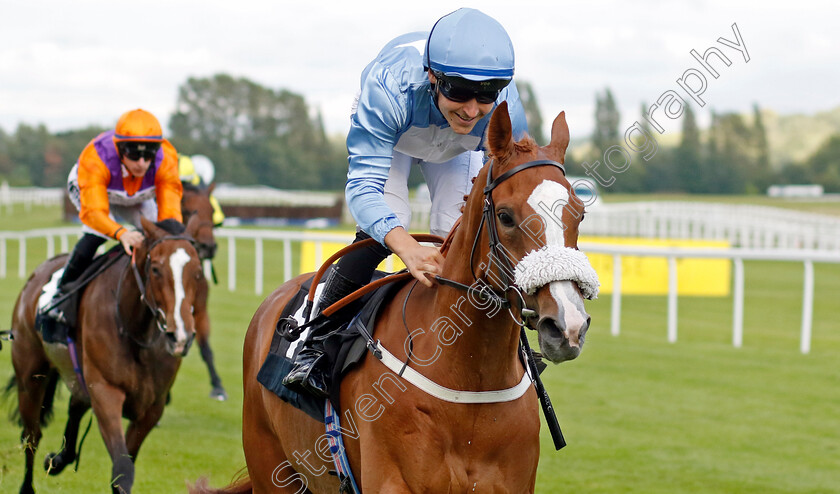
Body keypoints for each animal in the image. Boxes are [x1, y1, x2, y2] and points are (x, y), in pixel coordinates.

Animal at [11, 216, 207, 494]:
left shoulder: (152, 407)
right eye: (155, 269)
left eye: (198, 271)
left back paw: (58, 459)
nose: (180, 336)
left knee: (76, 404)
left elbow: (126, 463)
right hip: (30, 375)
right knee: (32, 435)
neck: (136, 331)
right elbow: (122, 470)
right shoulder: (106, 392)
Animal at [195, 102, 596, 492]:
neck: (468, 381)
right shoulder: (391, 478)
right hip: (270, 465)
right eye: (506, 216)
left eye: (579, 213)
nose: (567, 326)